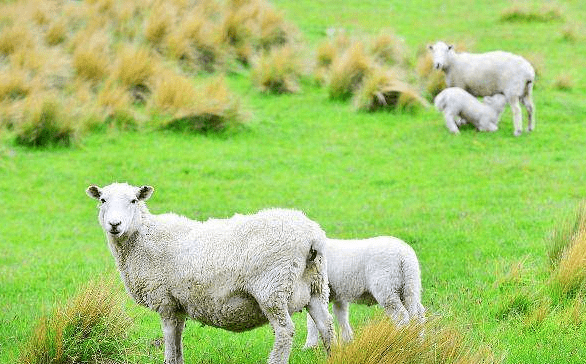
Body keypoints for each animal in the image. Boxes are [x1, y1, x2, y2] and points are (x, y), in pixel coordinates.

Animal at [86, 181, 334, 364]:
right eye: (103, 200)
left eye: (134, 200)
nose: (114, 224)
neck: (143, 238)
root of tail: (313, 236)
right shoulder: (179, 304)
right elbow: (177, 343)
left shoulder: (165, 301)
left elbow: (169, 342)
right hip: (316, 286)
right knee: (327, 326)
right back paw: (334, 356)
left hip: (273, 287)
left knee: (285, 331)